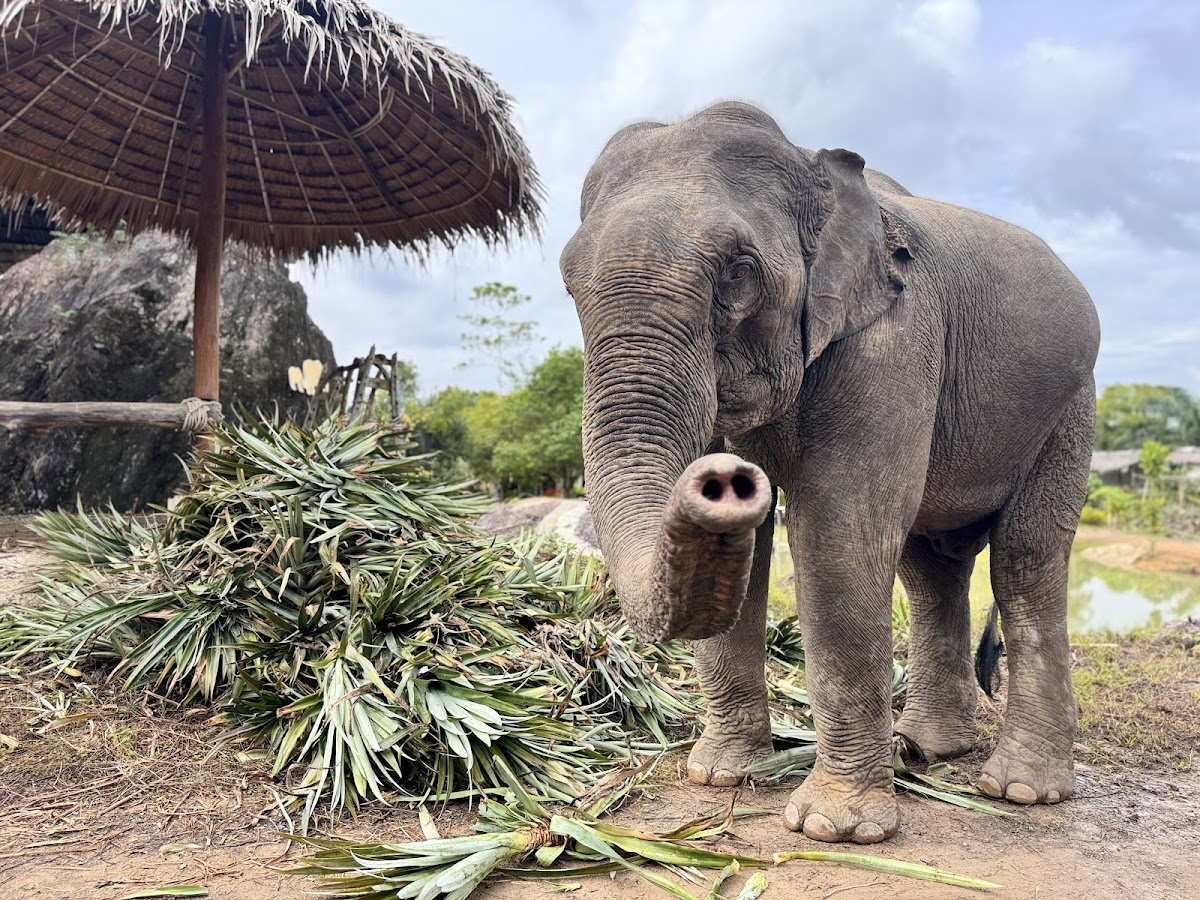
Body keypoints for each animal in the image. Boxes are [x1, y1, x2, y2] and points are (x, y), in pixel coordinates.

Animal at [559, 101, 1099, 844]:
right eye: (568, 283)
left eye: (739, 272)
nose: (722, 476)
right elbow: (752, 552)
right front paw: (723, 778)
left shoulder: (893, 341)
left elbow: (837, 535)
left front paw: (833, 829)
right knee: (930, 567)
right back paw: (928, 749)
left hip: (1068, 407)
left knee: (1024, 558)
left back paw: (1019, 790)